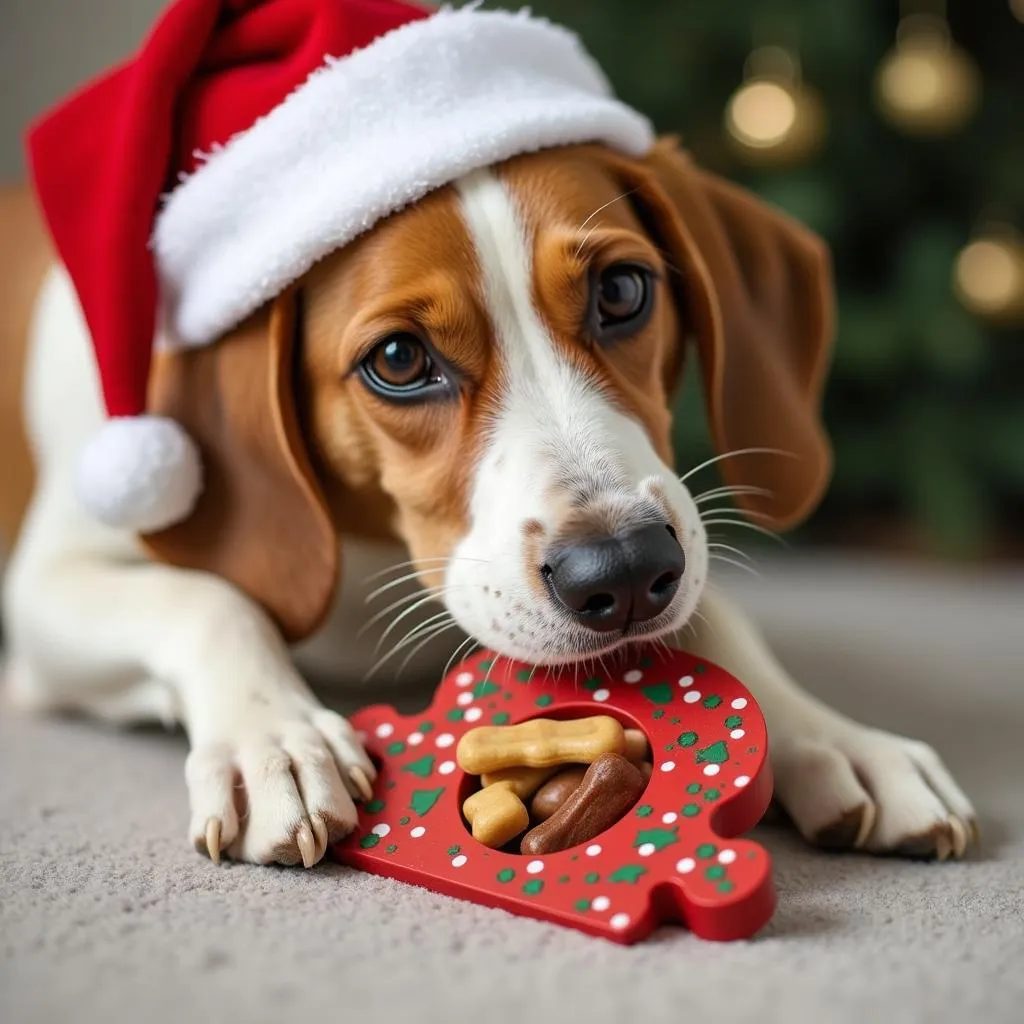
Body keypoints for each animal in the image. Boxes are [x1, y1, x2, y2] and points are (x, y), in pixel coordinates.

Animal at [0, 0, 974, 868]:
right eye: (399, 360)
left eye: (623, 291)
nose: (624, 573)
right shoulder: (45, 590)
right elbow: (208, 599)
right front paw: (272, 738)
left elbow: (715, 614)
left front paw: (827, 732)